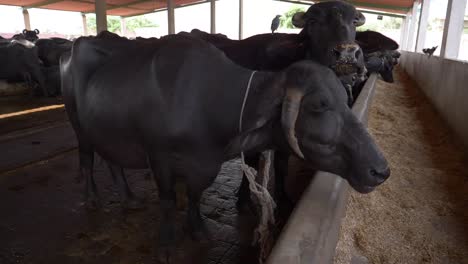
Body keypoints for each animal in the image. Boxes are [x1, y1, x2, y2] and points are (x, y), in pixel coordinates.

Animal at [62, 33, 390, 260]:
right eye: (320, 104)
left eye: (345, 98)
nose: (381, 170)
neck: (207, 102)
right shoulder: (159, 158)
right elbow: (168, 200)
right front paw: (167, 244)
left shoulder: (205, 165)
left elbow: (194, 196)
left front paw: (197, 231)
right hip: (78, 125)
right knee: (87, 158)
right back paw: (92, 198)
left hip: (106, 128)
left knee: (111, 159)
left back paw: (128, 198)